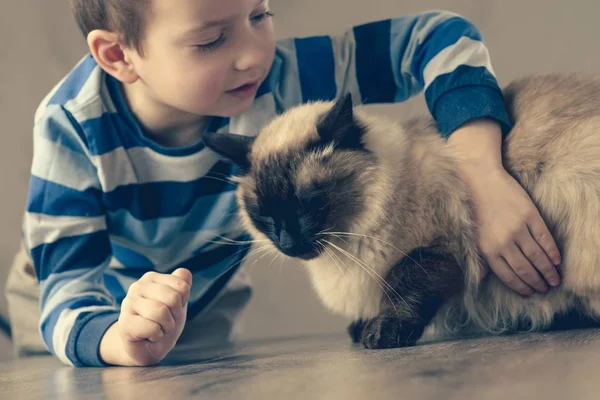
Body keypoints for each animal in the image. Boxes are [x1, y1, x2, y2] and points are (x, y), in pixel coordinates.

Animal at [203, 73, 600, 348]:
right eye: (265, 216)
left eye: (308, 202)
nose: (287, 242)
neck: (346, 246)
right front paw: (361, 328)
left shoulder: (438, 252)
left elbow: (401, 286)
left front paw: (382, 333)